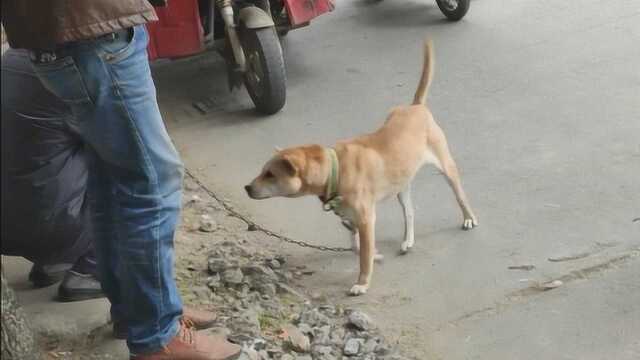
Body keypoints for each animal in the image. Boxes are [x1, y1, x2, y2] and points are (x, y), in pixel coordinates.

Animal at [245, 41, 476, 296]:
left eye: (270, 174)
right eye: (262, 171)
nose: (247, 188)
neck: (336, 169)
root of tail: (415, 107)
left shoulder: (366, 219)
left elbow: (363, 255)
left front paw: (363, 282)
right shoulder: (352, 218)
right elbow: (359, 249)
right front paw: (375, 256)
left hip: (446, 166)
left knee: (460, 195)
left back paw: (468, 218)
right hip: (401, 184)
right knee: (409, 212)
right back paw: (408, 240)